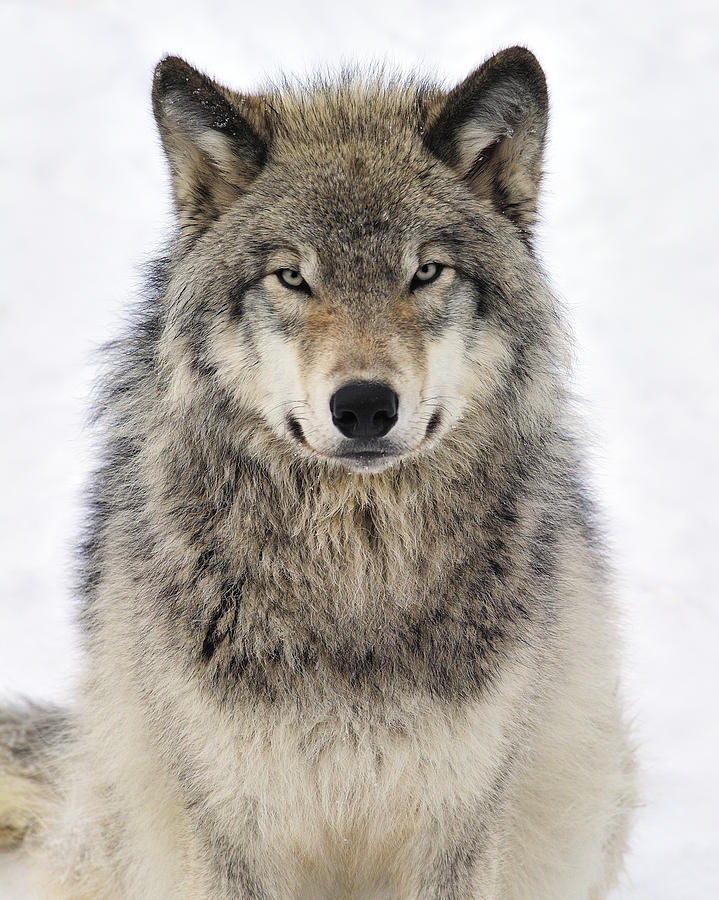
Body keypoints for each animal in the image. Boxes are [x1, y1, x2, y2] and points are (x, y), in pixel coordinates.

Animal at [2, 47, 640, 892]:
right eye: (292, 277)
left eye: (425, 272)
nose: (364, 405)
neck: (354, 575)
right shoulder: (230, 826)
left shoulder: (457, 825)